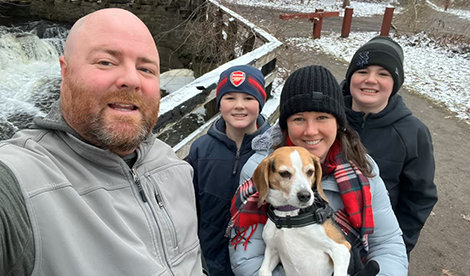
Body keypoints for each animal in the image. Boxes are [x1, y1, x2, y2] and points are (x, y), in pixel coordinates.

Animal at [253, 147, 348, 276]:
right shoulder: (272, 249)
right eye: (284, 173)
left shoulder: (341, 248)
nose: (305, 195)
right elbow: (263, 270)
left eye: (310, 172)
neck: (288, 215)